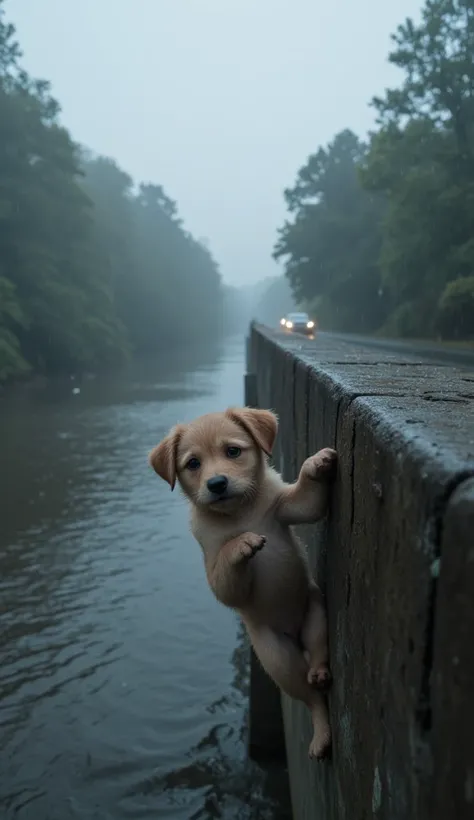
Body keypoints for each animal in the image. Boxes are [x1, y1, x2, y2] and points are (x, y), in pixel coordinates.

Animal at [149, 406, 336, 760]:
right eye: (193, 464)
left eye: (233, 451)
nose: (217, 483)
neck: (241, 513)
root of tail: (294, 634)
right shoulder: (214, 570)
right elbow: (227, 569)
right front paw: (241, 544)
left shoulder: (287, 507)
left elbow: (308, 502)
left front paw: (316, 463)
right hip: (278, 658)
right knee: (311, 699)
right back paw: (321, 734)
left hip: (316, 612)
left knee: (318, 654)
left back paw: (319, 670)